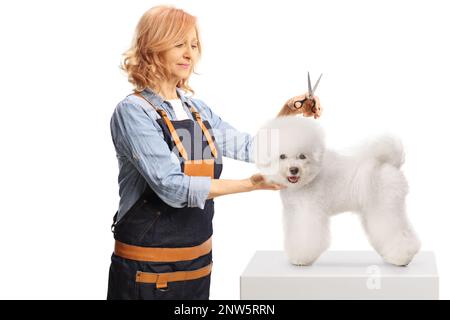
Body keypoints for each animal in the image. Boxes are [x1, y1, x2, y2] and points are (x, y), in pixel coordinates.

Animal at [255, 116, 420, 266]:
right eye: (282, 156)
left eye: (302, 156)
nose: (294, 169)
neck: (307, 180)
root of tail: (390, 164)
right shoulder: (294, 212)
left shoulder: (309, 213)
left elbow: (307, 238)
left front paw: (301, 258)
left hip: (385, 208)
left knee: (398, 233)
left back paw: (400, 258)